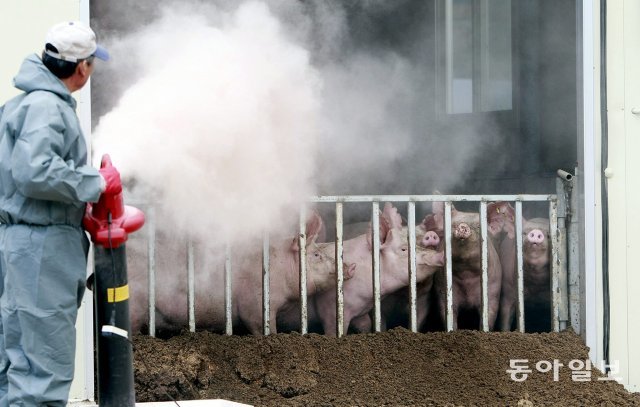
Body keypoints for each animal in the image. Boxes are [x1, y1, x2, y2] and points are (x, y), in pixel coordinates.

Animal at [424, 201, 504, 332]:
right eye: (452, 225)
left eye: (478, 226)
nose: (462, 225)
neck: (466, 272)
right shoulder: (442, 287)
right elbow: (448, 314)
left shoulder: (493, 289)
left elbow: (488, 315)